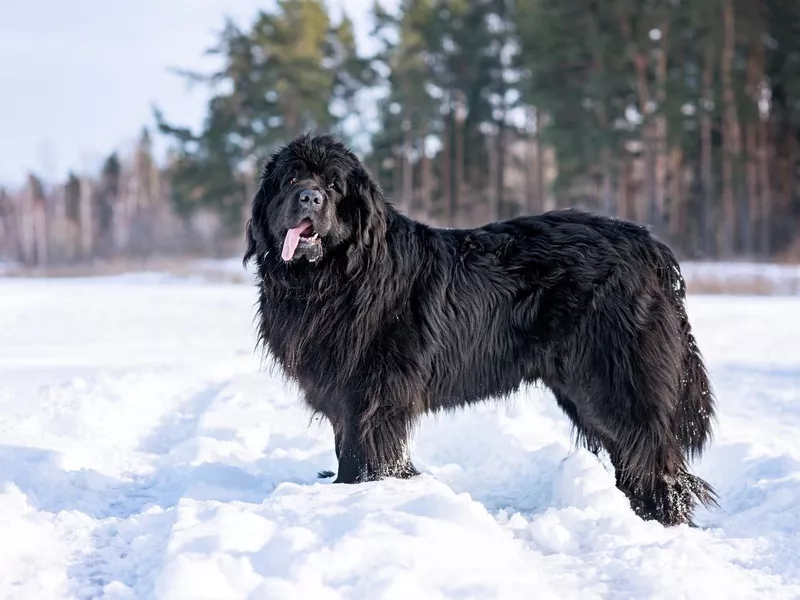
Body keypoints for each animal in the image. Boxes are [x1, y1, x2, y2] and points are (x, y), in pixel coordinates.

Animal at [244, 134, 720, 528]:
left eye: (334, 185)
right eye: (291, 178)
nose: (309, 196)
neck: (331, 279)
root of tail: (648, 245)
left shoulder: (373, 394)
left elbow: (364, 454)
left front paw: (359, 495)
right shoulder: (343, 393)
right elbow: (347, 445)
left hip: (613, 381)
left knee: (654, 458)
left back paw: (659, 520)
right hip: (583, 388)